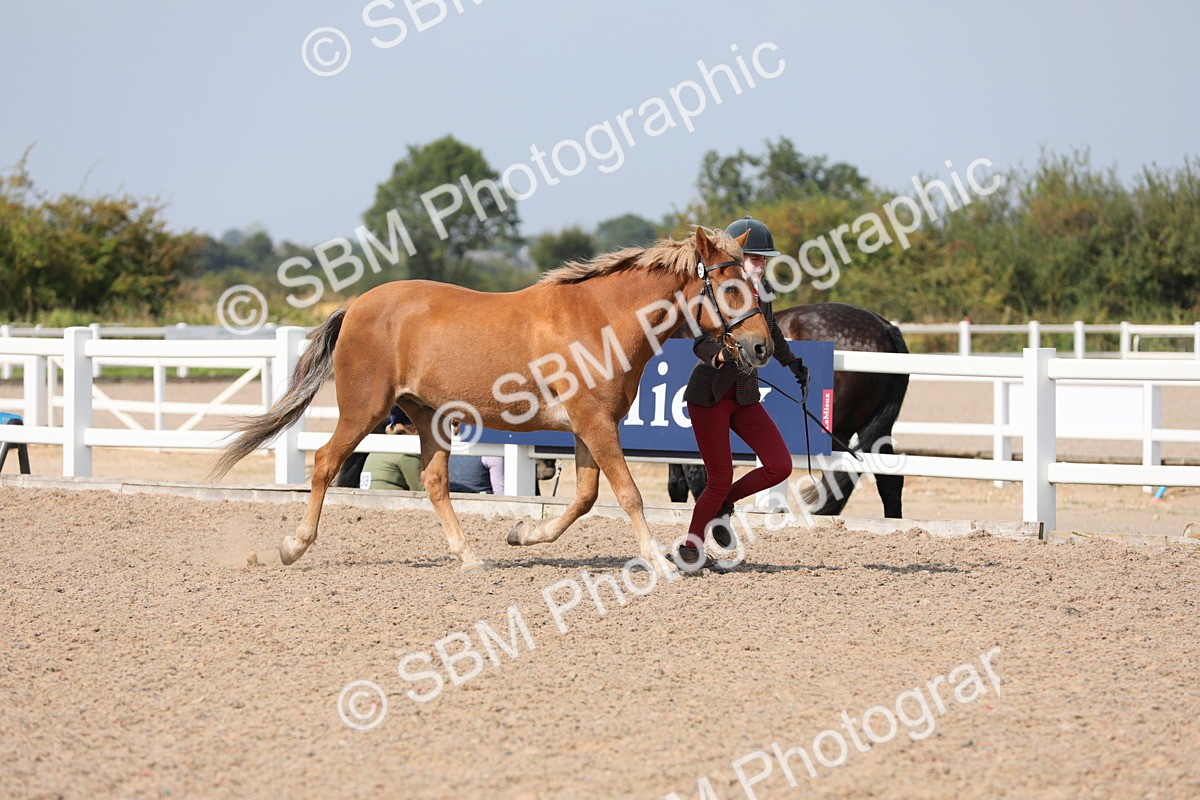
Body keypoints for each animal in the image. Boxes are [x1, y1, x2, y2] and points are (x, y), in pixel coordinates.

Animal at [211, 227, 773, 573]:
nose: (761, 347)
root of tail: (355, 306)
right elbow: (628, 494)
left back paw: (469, 557)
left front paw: (523, 533)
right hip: (363, 411)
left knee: (434, 482)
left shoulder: (588, 426)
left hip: (430, 418)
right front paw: (658, 562)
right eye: (729, 288)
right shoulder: (594, 423)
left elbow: (585, 497)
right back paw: (293, 546)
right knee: (327, 463)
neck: (601, 318)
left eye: (754, 283)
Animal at [666, 302, 909, 518]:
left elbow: (697, 483)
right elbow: (677, 486)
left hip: (838, 433)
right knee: (889, 480)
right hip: (876, 429)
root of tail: (886, 328)